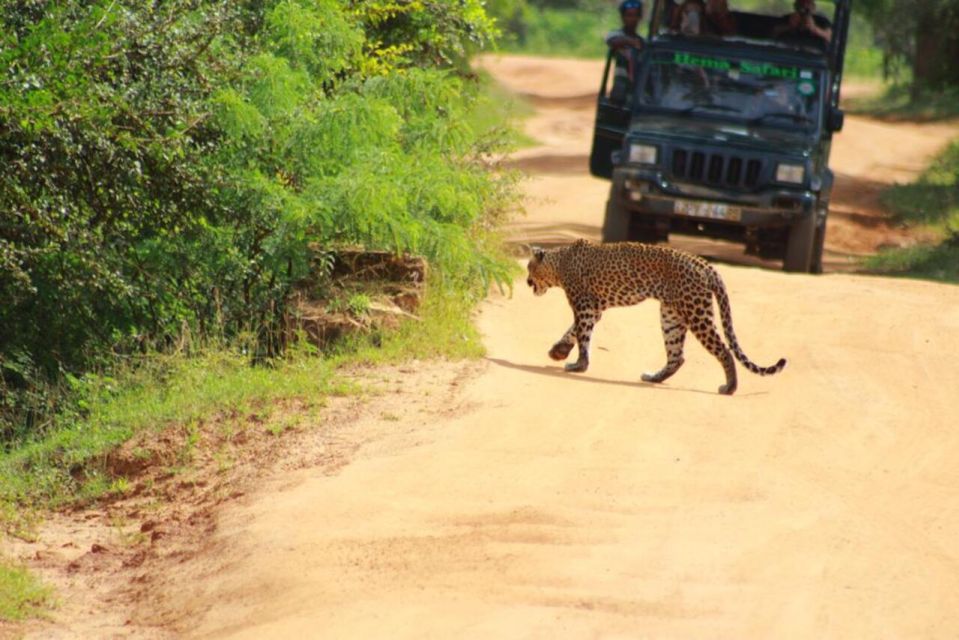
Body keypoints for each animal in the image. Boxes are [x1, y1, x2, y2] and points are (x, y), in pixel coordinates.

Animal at [524, 238, 788, 392]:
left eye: (528, 267)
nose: (526, 282)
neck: (559, 262)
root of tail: (705, 264)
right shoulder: (594, 308)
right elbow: (574, 330)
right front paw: (558, 351)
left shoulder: (583, 305)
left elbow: (582, 335)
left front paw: (579, 365)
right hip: (671, 316)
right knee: (676, 357)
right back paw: (654, 378)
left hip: (696, 312)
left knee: (723, 350)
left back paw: (729, 387)